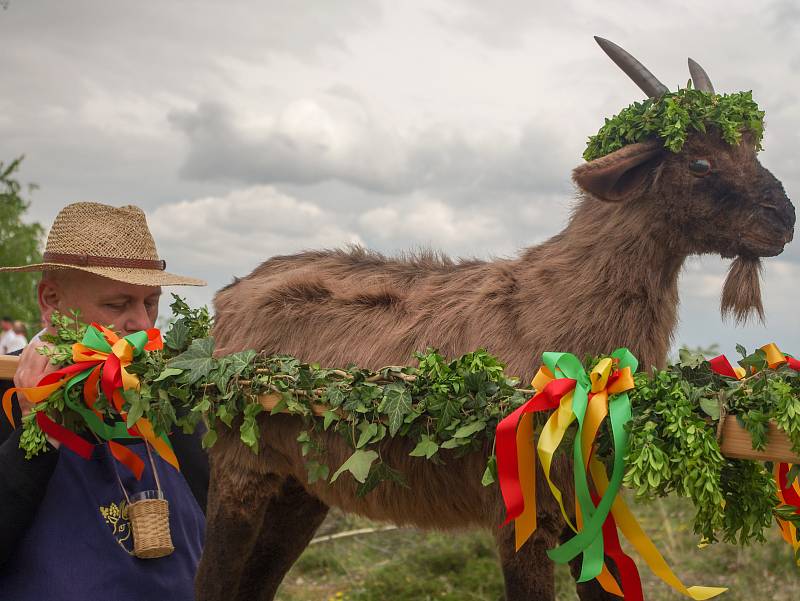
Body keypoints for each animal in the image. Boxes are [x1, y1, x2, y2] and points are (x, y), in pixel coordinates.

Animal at [195, 38, 792, 600]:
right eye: (699, 161)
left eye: (751, 144)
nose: (784, 220)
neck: (556, 312)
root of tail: (227, 299)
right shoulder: (519, 512)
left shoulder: (587, 508)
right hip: (239, 473)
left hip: (301, 487)